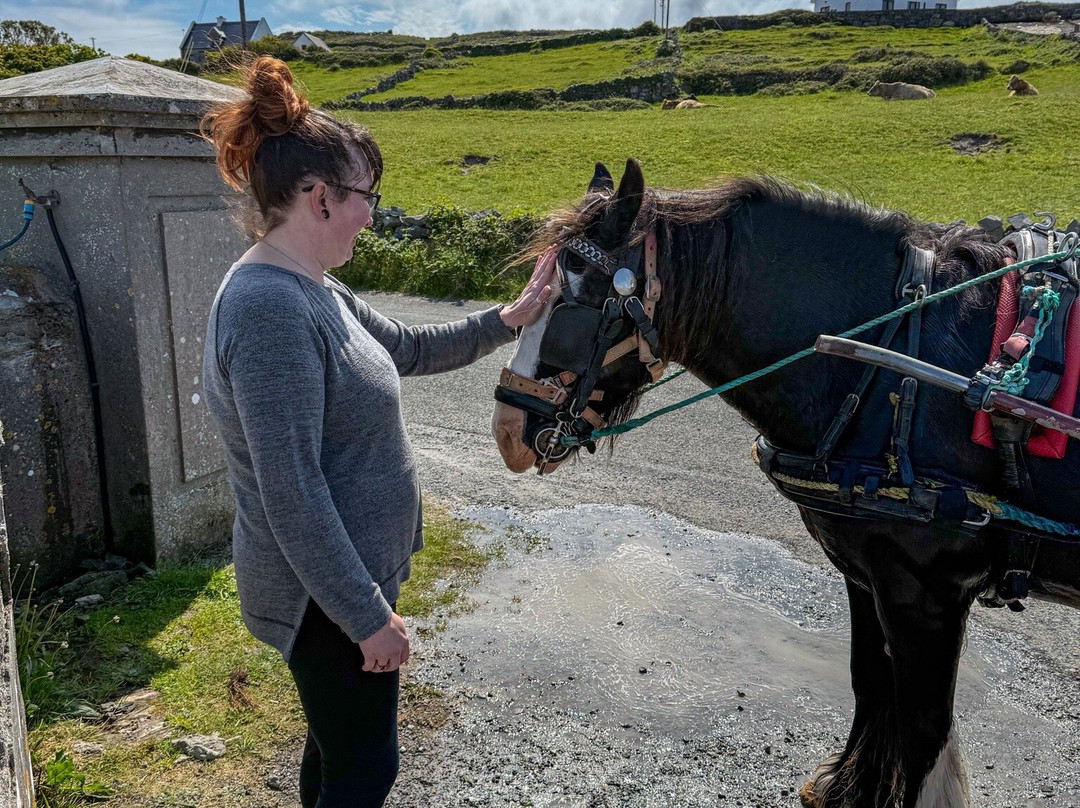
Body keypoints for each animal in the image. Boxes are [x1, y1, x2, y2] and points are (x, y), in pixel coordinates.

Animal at [491, 159, 1080, 808]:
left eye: (571, 307)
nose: (507, 428)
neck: (892, 359)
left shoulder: (927, 593)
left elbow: (924, 729)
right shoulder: (867, 575)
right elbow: (871, 681)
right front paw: (851, 788)